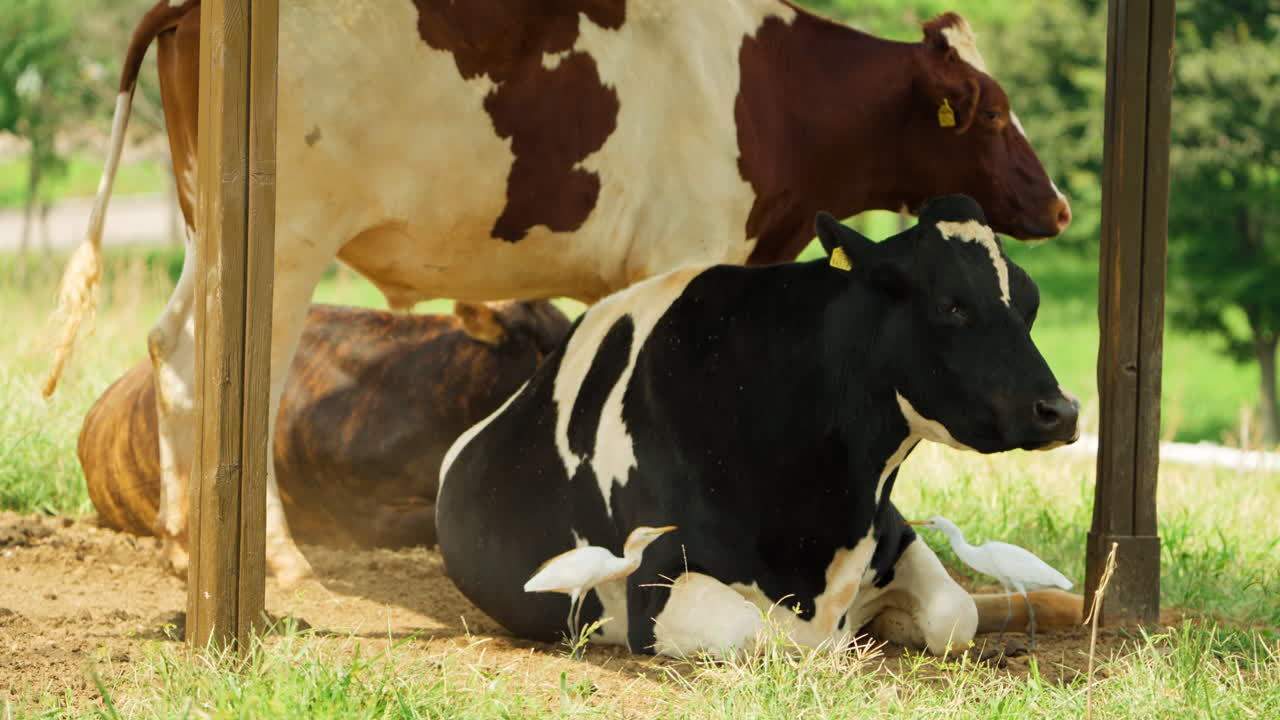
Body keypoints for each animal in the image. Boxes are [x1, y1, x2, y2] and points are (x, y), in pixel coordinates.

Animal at [436, 196, 1081, 656]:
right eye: (952, 305)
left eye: (1031, 305)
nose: (1063, 410)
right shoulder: (657, 579)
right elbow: (754, 631)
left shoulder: (894, 535)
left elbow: (956, 615)